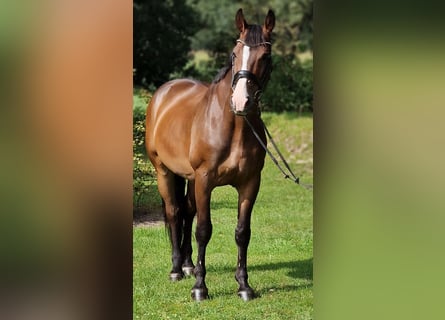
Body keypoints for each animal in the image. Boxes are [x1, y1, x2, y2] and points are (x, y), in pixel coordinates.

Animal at [146, 8, 274, 302]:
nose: (241, 102)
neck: (234, 127)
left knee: (187, 211)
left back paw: (188, 265)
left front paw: (244, 285)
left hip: (190, 179)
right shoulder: (205, 180)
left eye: (265, 56)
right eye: (234, 54)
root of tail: (164, 93)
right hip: (164, 171)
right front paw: (200, 288)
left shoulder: (250, 183)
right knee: (174, 212)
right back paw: (176, 269)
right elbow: (203, 230)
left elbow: (242, 232)